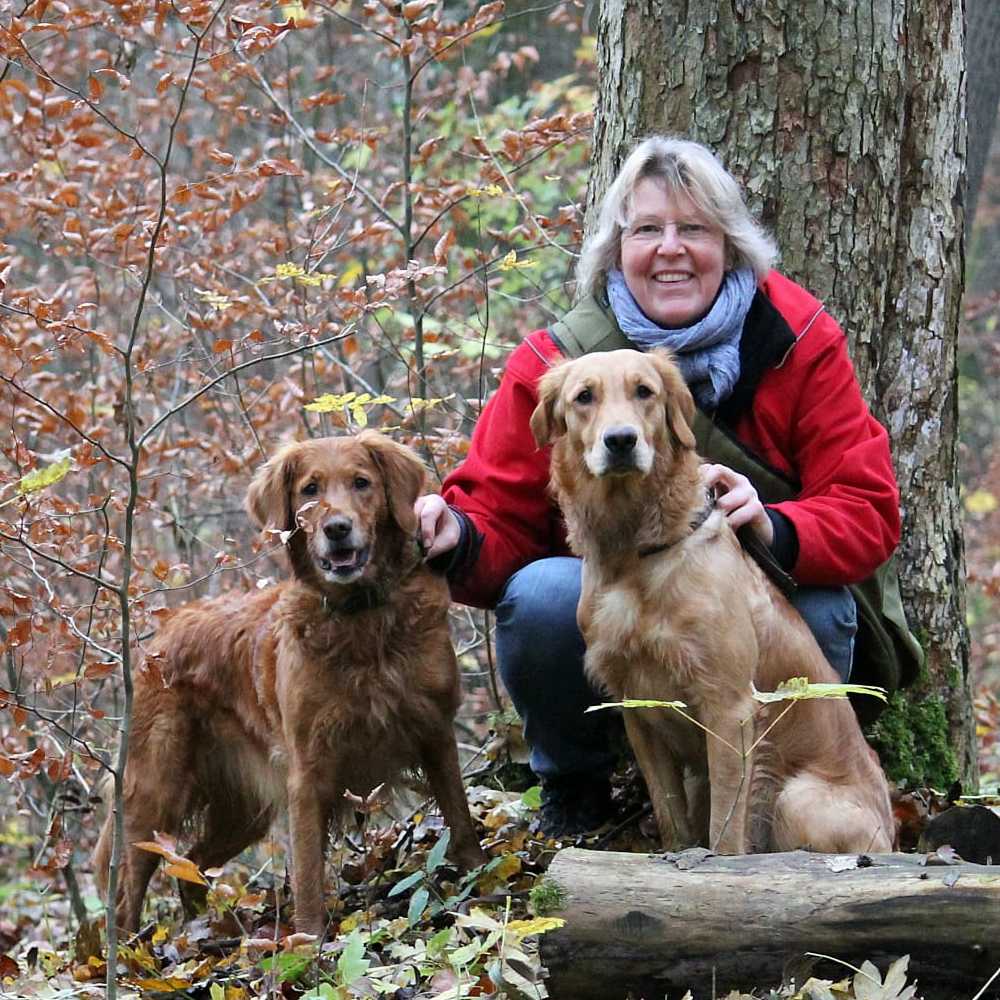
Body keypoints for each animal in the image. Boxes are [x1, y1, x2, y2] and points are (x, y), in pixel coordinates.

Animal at [95, 434, 486, 932]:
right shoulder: (308, 768)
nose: (337, 528)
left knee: (192, 870)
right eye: (309, 490)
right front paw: (309, 940)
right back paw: (129, 954)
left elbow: (461, 818)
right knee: (126, 896)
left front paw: (480, 884)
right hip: (153, 795)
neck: (361, 619)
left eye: (362, 483)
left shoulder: (435, 731)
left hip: (240, 811)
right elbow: (307, 873)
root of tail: (160, 639)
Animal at [532, 350, 900, 852]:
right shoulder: (637, 708)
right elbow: (670, 815)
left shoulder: (728, 708)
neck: (634, 551)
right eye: (584, 397)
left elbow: (725, 824)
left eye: (644, 391)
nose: (621, 440)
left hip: (795, 797)